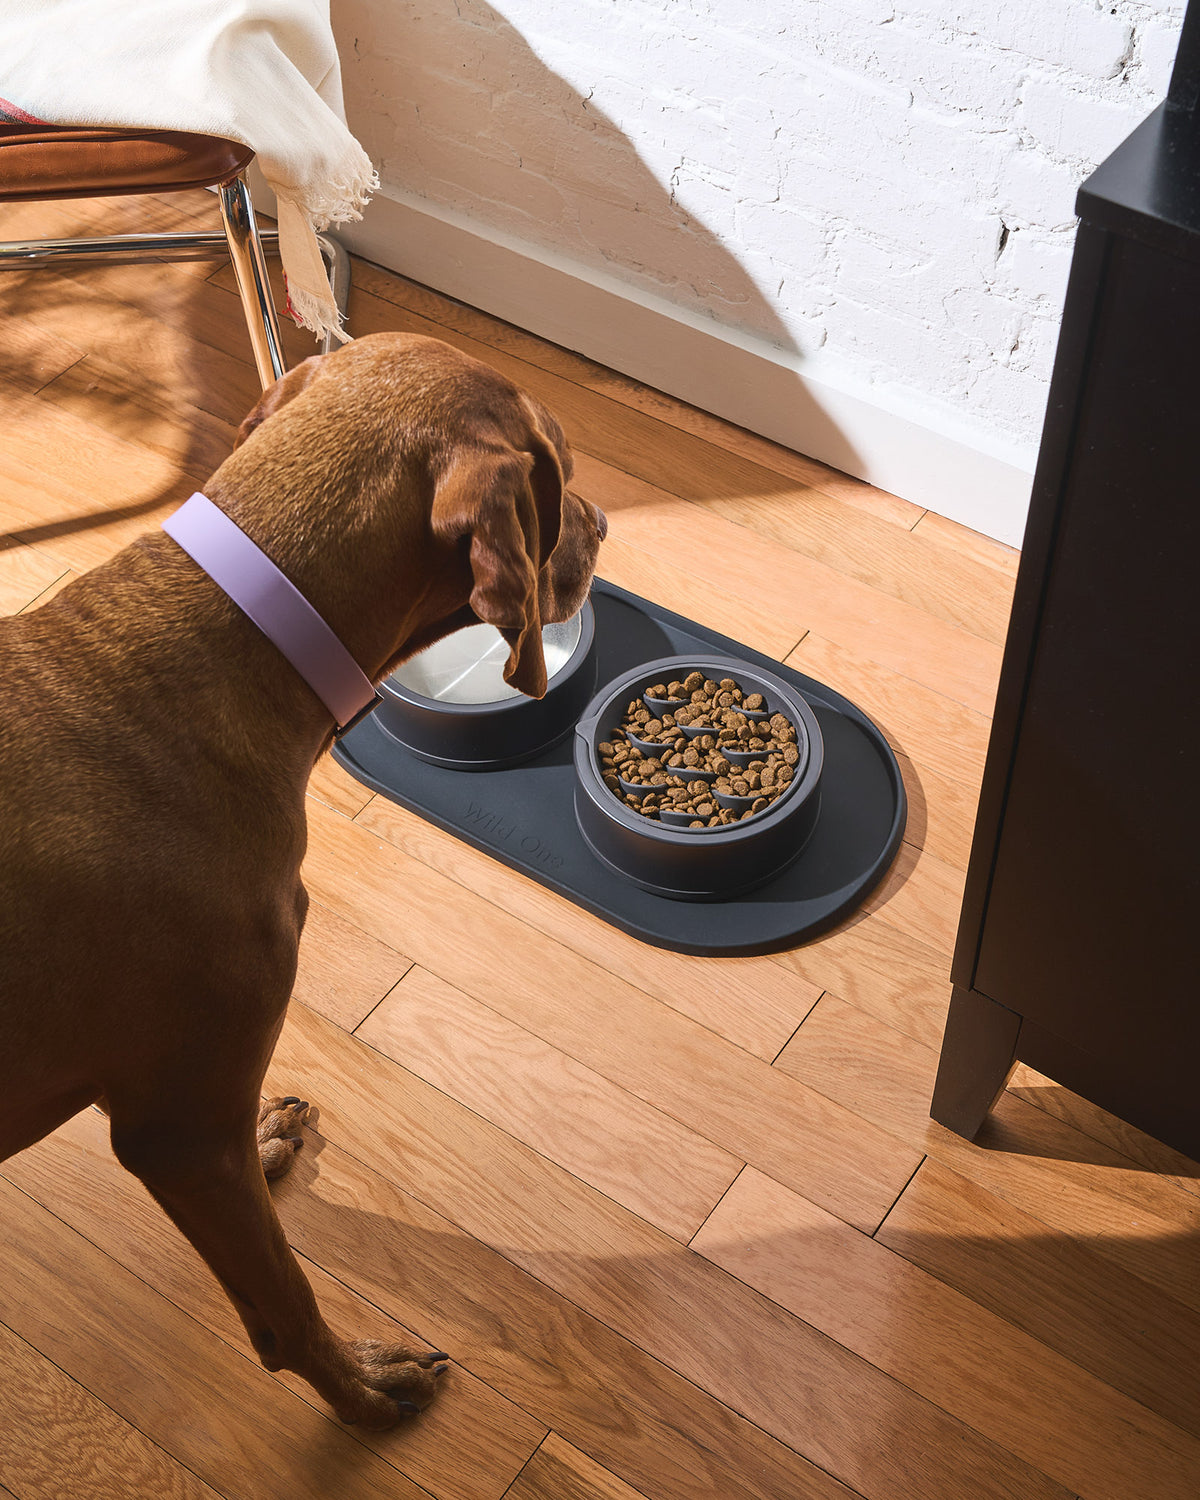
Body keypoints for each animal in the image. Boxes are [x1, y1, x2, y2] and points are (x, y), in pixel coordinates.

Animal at [0, 331, 606, 1428]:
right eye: (564, 469)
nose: (609, 524)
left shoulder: (203, 1126)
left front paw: (274, 1139)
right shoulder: (178, 1131)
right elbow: (283, 1297)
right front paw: (359, 1389)